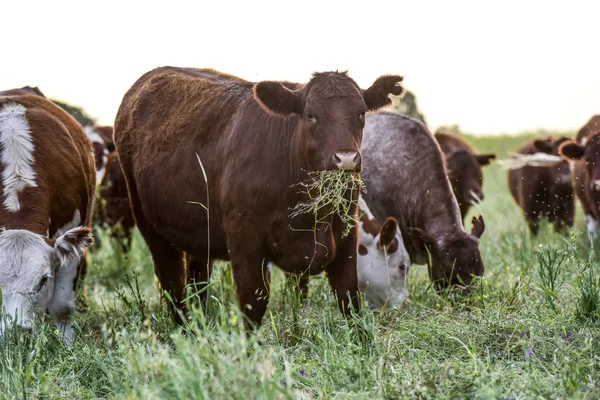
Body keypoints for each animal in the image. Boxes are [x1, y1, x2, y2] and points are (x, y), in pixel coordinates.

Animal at [112, 66, 404, 328]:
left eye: (361, 113)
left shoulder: (345, 233)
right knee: (172, 281)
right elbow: (254, 303)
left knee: (198, 281)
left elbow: (349, 298)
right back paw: (184, 331)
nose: (346, 158)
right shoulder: (245, 240)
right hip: (148, 222)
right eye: (310, 115)